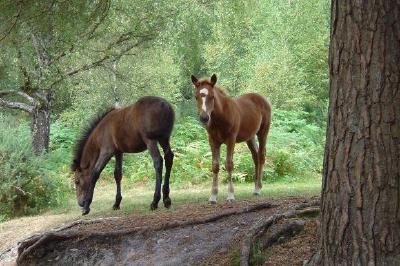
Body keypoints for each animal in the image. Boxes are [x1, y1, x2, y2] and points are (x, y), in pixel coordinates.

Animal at [191, 74, 272, 203]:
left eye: (212, 96)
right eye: (196, 97)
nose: (204, 118)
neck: (220, 117)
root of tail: (263, 99)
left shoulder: (231, 139)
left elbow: (229, 164)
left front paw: (230, 195)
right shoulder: (213, 141)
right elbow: (215, 166)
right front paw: (213, 196)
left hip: (263, 132)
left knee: (261, 156)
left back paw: (258, 188)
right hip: (250, 137)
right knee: (255, 157)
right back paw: (255, 187)